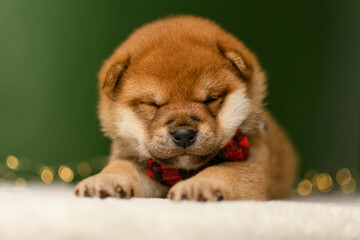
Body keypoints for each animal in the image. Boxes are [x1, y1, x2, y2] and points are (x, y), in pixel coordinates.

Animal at [74, 15, 296, 201]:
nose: (183, 135)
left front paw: (199, 185)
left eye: (211, 99)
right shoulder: (139, 163)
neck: (182, 171)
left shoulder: (251, 164)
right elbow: (121, 167)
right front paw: (103, 180)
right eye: (152, 104)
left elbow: (223, 171)